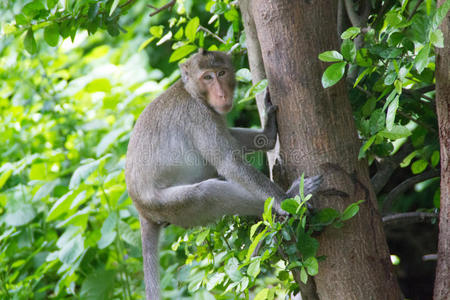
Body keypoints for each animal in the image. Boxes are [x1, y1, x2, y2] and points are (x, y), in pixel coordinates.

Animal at [125, 48, 322, 298]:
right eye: (207, 77)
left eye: (221, 73)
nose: (221, 93)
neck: (194, 94)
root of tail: (141, 210)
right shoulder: (199, 116)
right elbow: (229, 163)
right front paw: (287, 199)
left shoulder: (213, 114)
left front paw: (268, 134)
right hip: (167, 205)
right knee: (207, 193)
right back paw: (291, 197)